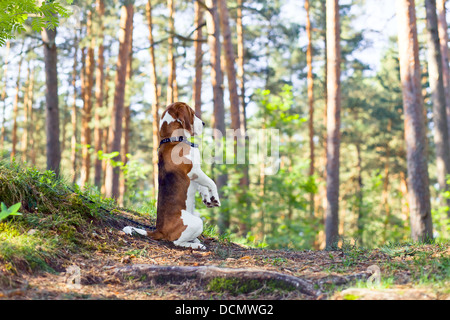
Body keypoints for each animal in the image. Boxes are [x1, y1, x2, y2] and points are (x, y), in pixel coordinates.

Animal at [123, 102, 221, 250]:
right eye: (192, 113)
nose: (204, 123)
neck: (173, 139)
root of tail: (159, 230)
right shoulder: (195, 171)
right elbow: (211, 182)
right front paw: (215, 198)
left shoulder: (195, 175)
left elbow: (203, 186)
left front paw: (207, 198)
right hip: (197, 222)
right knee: (176, 242)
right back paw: (196, 245)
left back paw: (196, 240)